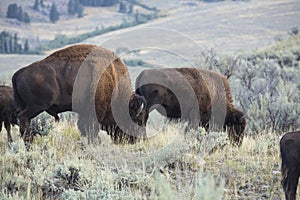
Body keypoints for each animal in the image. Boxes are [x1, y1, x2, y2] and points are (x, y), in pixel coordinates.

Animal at [12, 44, 148, 145]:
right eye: (138, 119)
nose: (135, 140)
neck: (113, 78)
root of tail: (19, 73)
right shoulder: (94, 112)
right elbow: (90, 129)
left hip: (25, 105)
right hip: (36, 106)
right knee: (24, 118)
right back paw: (29, 142)